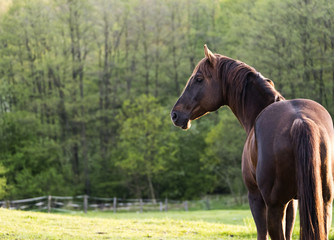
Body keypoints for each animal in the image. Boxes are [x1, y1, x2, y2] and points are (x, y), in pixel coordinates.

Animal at [172, 44, 334, 238]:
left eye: (198, 79)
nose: (175, 114)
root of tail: (300, 120)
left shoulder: (255, 198)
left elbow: (261, 233)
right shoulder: (293, 203)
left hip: (274, 206)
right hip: (323, 203)